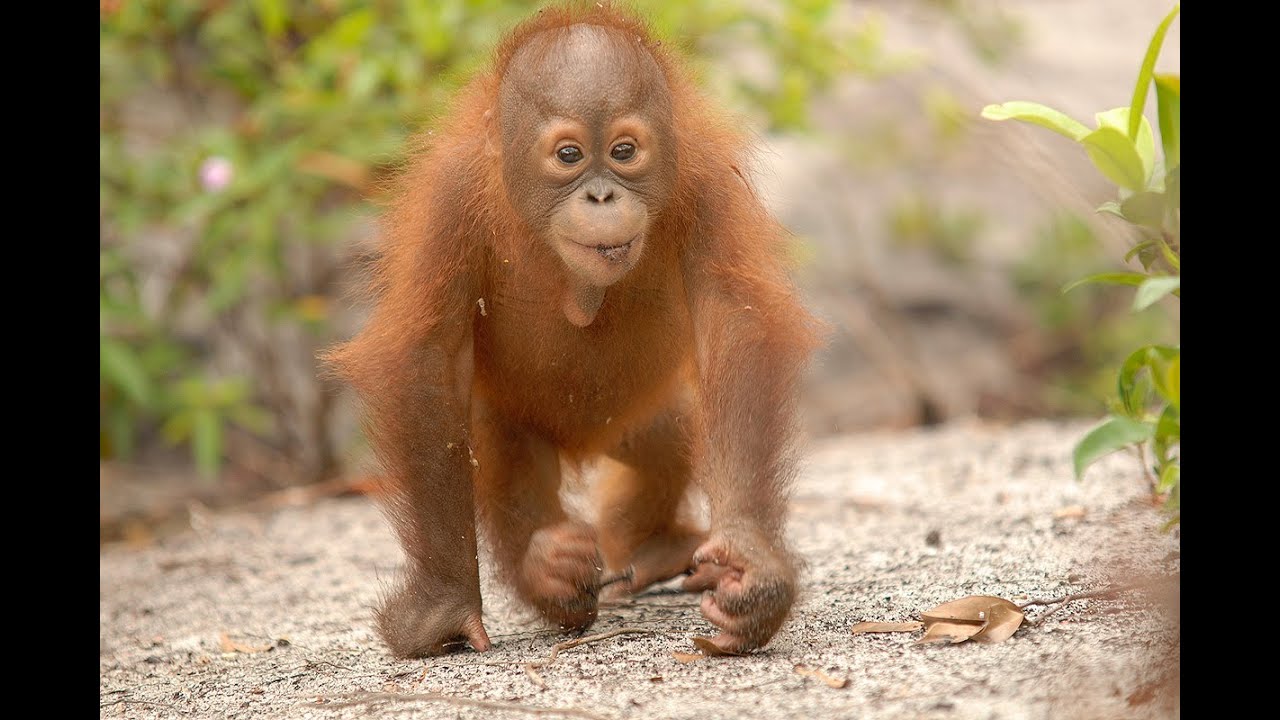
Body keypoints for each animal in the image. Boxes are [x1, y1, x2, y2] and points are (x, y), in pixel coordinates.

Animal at [323, 1, 822, 659]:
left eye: (625, 150)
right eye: (568, 156)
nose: (602, 194)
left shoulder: (708, 182)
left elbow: (734, 323)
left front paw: (749, 567)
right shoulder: (448, 201)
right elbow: (427, 358)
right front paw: (444, 605)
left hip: (638, 420)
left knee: (667, 442)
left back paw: (652, 550)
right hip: (511, 422)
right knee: (507, 462)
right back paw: (549, 574)